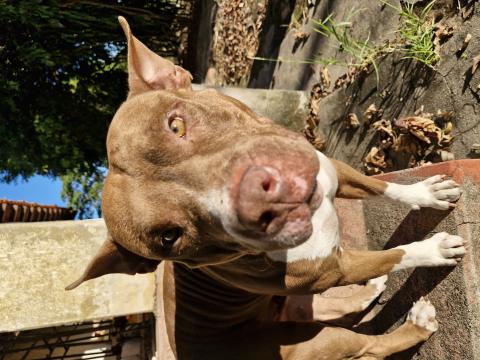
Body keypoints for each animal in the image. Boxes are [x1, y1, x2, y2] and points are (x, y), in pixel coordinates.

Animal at [66, 17, 464, 360]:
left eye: (175, 125)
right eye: (170, 236)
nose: (257, 199)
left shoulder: (332, 169)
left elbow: (381, 187)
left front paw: (426, 195)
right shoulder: (334, 269)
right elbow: (395, 254)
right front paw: (433, 248)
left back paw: (369, 290)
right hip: (313, 339)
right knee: (369, 344)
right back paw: (415, 325)